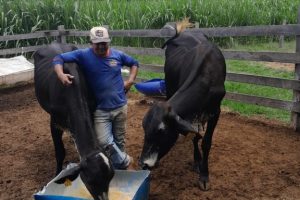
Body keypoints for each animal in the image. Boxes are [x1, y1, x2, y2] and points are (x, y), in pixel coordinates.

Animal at [33, 42, 114, 200]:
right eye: (90, 181)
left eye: (111, 178)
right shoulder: (54, 122)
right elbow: (60, 152)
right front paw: (57, 176)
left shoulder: (91, 111)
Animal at [139, 20, 226, 191]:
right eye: (144, 128)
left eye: (161, 131)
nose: (144, 163)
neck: (206, 76)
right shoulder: (192, 115)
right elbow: (196, 137)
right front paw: (197, 161)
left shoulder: (215, 112)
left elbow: (206, 142)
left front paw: (204, 176)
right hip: (170, 85)